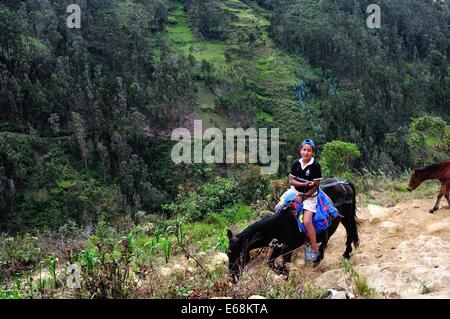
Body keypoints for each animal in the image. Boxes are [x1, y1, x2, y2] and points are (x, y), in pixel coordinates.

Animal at [227, 179, 360, 282]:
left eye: (239, 254)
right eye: (228, 254)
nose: (232, 277)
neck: (277, 227)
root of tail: (345, 182)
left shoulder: (288, 250)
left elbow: (282, 265)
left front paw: (286, 276)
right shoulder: (279, 249)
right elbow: (270, 263)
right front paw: (284, 274)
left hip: (346, 217)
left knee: (348, 232)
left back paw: (342, 254)